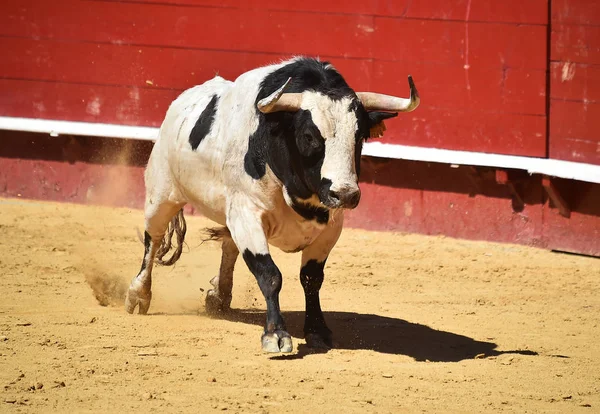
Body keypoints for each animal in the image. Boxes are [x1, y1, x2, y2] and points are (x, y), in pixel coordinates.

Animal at [124, 57, 420, 352]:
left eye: (360, 137)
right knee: (152, 241)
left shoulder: (330, 229)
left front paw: (317, 330)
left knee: (228, 246)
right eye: (309, 136)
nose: (345, 194)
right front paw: (275, 334)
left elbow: (311, 279)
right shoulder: (247, 215)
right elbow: (270, 275)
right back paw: (139, 294)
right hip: (161, 195)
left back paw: (220, 295)